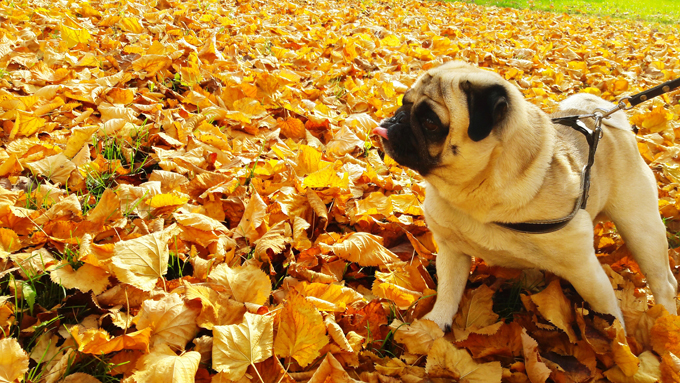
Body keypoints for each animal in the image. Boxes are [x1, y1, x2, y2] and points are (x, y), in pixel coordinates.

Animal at [374, 61, 676, 332]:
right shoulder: (451, 250)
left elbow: (610, 314)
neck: (476, 192)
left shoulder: (586, 272)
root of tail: (603, 118)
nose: (398, 118)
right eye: (404, 102)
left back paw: (665, 319)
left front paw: (620, 345)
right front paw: (434, 327)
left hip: (641, 230)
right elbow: (449, 292)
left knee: (664, 282)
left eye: (430, 123)